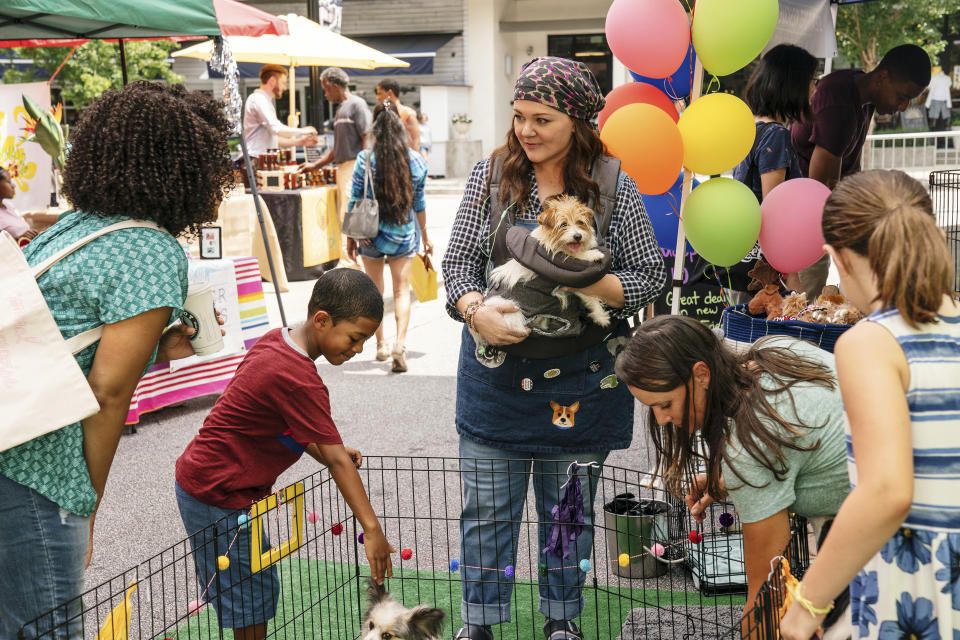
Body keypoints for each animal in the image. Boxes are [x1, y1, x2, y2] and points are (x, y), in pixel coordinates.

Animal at [472, 194, 608, 350]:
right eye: (563, 225)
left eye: (580, 222)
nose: (578, 236)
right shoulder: (565, 278)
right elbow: (589, 294)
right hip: (514, 312)